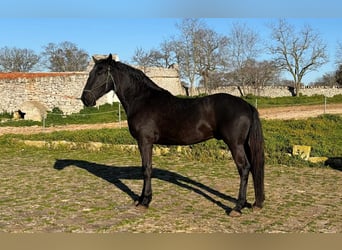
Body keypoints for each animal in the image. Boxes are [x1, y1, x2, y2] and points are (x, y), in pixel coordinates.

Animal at [81, 54, 266, 215]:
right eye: (90, 72)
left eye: (100, 72)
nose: (85, 99)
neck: (142, 100)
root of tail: (246, 105)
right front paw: (140, 199)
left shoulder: (145, 142)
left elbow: (146, 169)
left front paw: (145, 201)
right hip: (245, 145)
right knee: (252, 168)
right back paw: (254, 203)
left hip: (235, 144)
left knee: (244, 168)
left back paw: (237, 207)